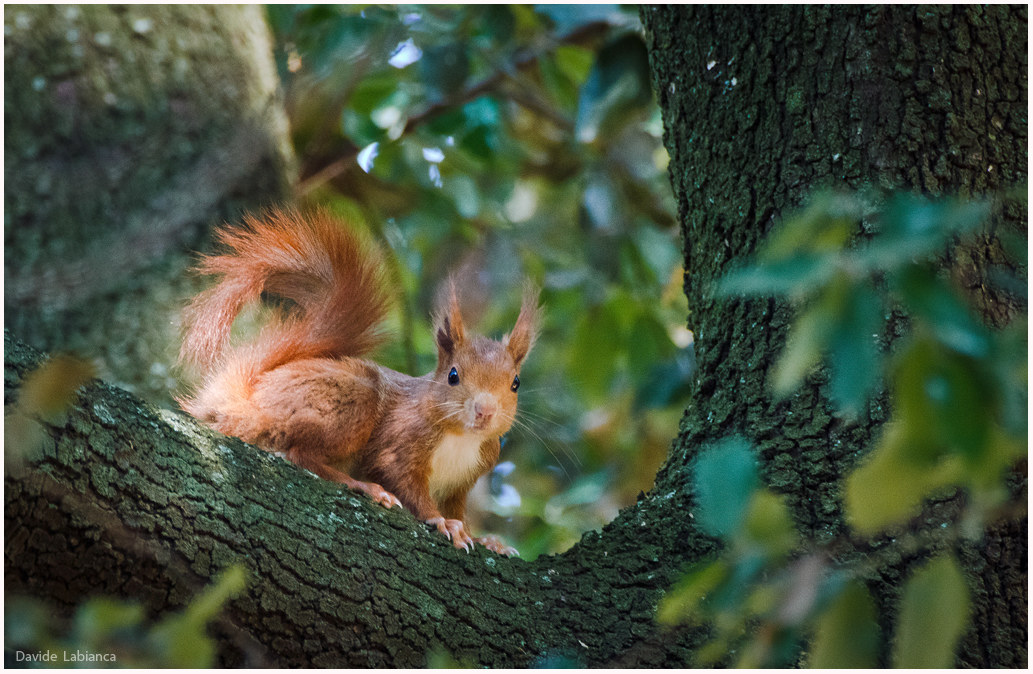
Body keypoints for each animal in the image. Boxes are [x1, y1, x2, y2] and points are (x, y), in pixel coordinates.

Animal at [178, 208, 540, 556]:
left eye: (516, 383)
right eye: (453, 376)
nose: (485, 411)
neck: (461, 438)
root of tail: (250, 400)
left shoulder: (464, 480)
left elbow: (458, 510)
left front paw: (484, 540)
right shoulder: (400, 443)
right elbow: (404, 482)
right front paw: (440, 522)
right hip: (349, 400)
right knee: (299, 453)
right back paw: (361, 486)